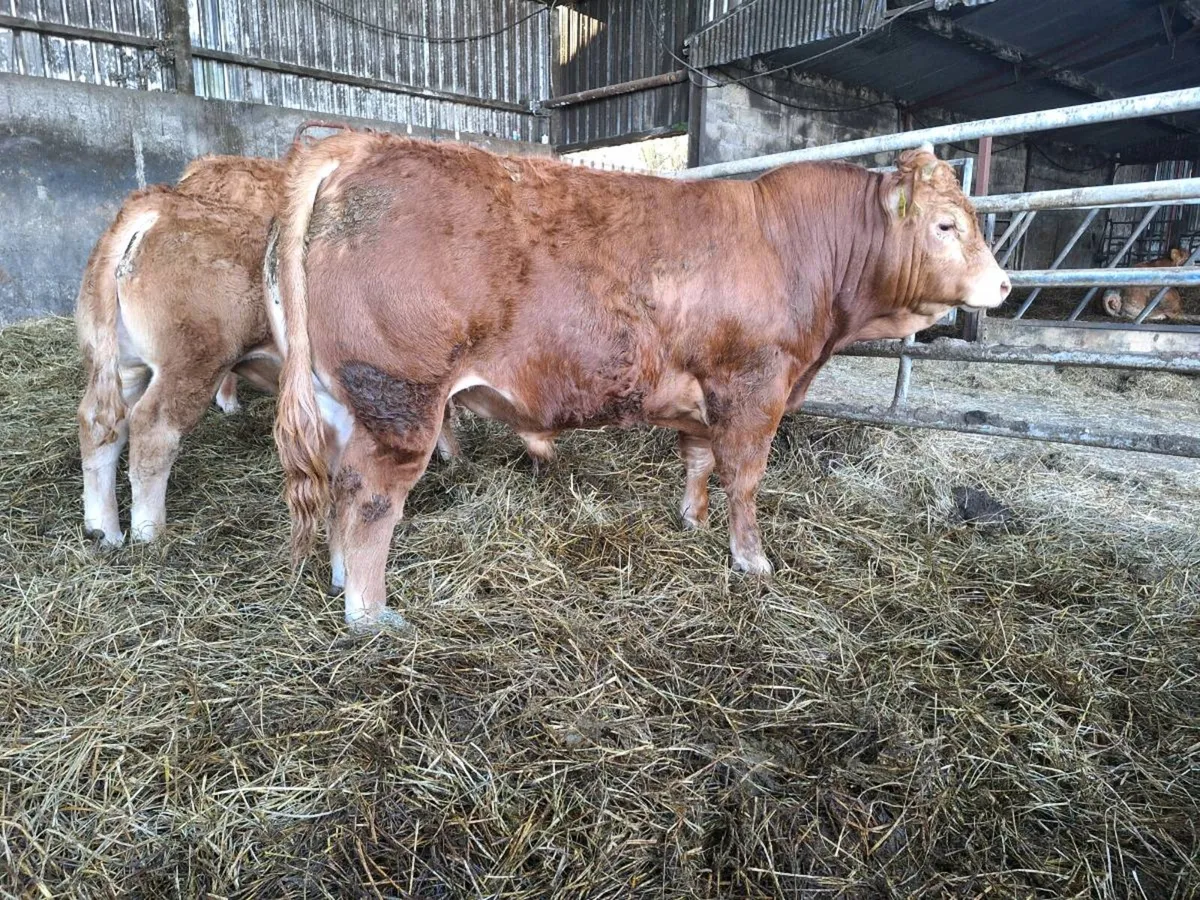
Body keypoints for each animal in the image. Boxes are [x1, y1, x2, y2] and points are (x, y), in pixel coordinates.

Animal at [270, 135, 1011, 630]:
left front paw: (692, 520)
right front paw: (751, 561)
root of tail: (361, 144)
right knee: (371, 500)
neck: (792, 245)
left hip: (341, 403)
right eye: (946, 225)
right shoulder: (754, 387)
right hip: (399, 399)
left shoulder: (704, 396)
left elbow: (700, 462)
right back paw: (370, 612)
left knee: (339, 487)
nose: (1003, 285)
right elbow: (744, 479)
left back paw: (339, 578)